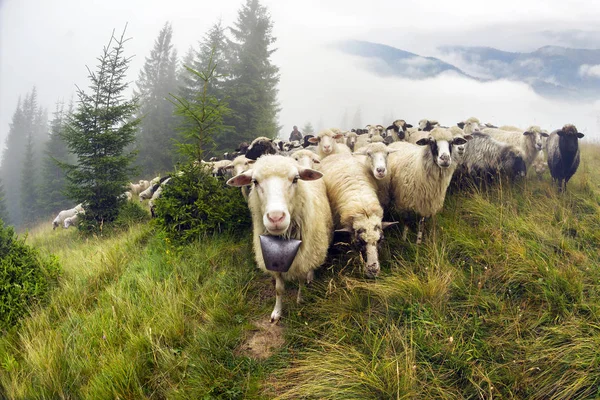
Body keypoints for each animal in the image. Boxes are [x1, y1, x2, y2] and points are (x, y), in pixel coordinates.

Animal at [227, 155, 336, 324]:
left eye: (296, 179)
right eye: (255, 181)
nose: (276, 217)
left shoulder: (302, 259)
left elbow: (301, 280)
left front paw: (300, 300)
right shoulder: (273, 260)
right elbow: (279, 289)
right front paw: (277, 312)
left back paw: (311, 275)